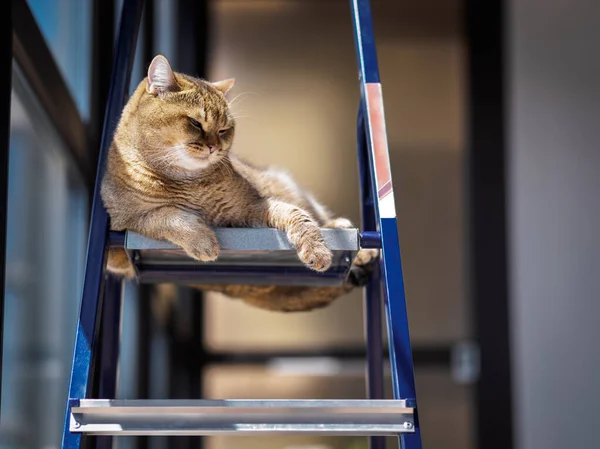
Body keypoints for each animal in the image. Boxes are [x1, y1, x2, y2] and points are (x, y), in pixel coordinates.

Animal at [101, 53, 378, 312]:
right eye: (195, 123)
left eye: (224, 129)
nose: (215, 146)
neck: (188, 183)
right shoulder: (121, 236)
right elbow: (165, 216)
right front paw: (202, 241)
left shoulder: (253, 206)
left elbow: (298, 216)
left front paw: (317, 250)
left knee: (318, 215)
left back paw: (350, 236)